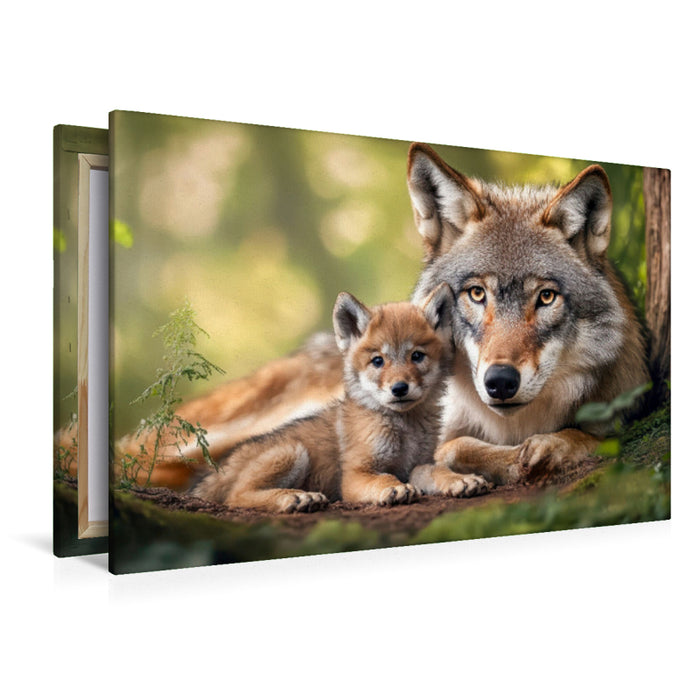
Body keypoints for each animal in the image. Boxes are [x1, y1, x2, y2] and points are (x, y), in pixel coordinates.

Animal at [191, 284, 488, 511]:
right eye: (378, 361)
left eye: (417, 356)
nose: (399, 388)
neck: (405, 429)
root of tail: (224, 465)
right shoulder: (357, 474)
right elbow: (383, 479)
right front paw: (394, 489)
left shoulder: (418, 464)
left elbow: (436, 472)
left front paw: (460, 480)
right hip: (293, 451)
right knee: (236, 498)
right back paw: (296, 497)